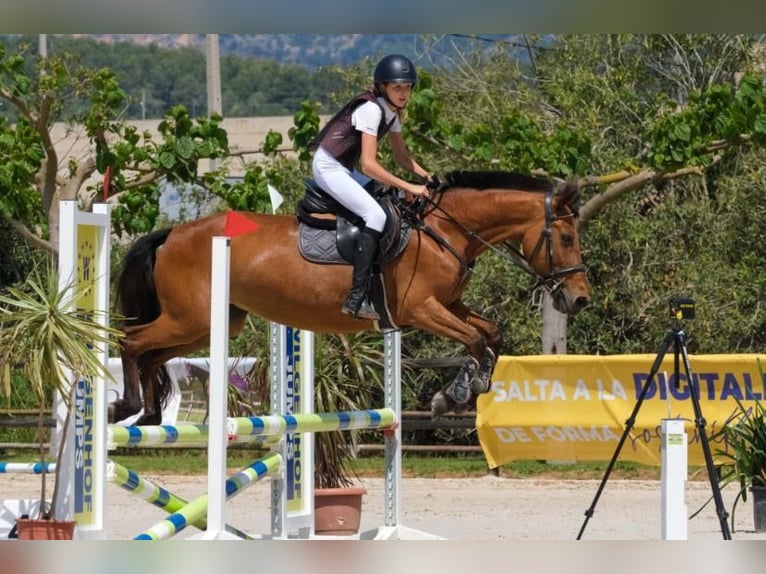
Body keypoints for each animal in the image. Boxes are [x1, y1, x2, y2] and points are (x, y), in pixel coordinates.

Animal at [113, 170, 590, 425]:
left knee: (152, 353)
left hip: (210, 325)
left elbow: (491, 333)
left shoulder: (449, 305)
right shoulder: (420, 309)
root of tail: (172, 234)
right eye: (567, 237)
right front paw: (457, 393)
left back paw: (150, 415)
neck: (444, 231)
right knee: (132, 342)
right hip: (190, 319)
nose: (579, 300)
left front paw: (463, 390)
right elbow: (474, 340)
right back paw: (128, 407)